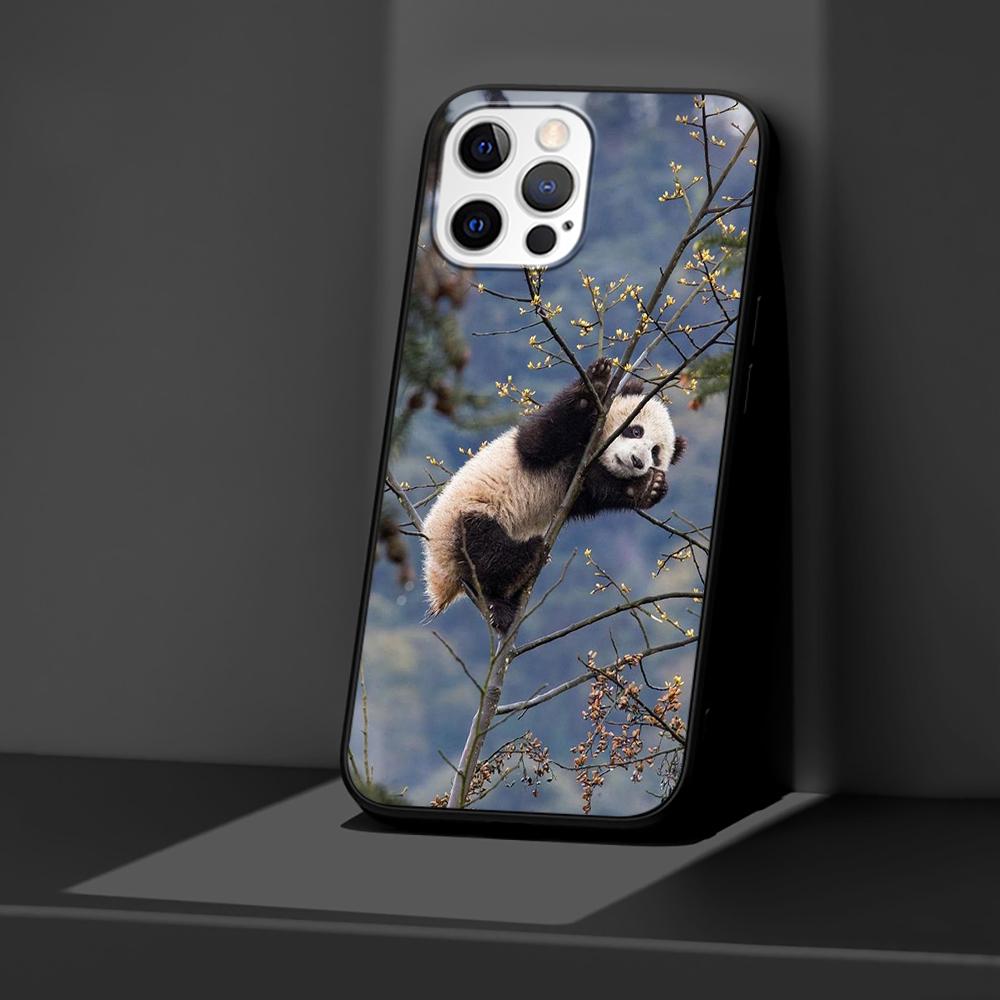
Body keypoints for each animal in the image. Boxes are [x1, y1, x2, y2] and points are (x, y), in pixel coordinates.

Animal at [422, 356, 686, 633]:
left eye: (655, 453)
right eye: (636, 431)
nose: (637, 461)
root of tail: (440, 579)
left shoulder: (579, 481)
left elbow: (596, 490)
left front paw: (649, 487)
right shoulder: (541, 444)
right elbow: (541, 439)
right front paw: (596, 383)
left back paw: (504, 605)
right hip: (464, 516)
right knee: (485, 548)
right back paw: (524, 563)